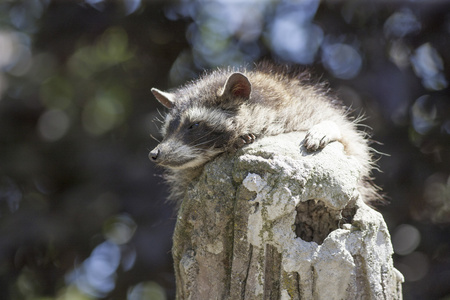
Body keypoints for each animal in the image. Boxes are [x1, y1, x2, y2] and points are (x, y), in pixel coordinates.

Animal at [149, 63, 378, 206]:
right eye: (168, 128)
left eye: (194, 125)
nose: (154, 154)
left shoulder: (306, 106)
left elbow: (353, 141)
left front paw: (327, 128)